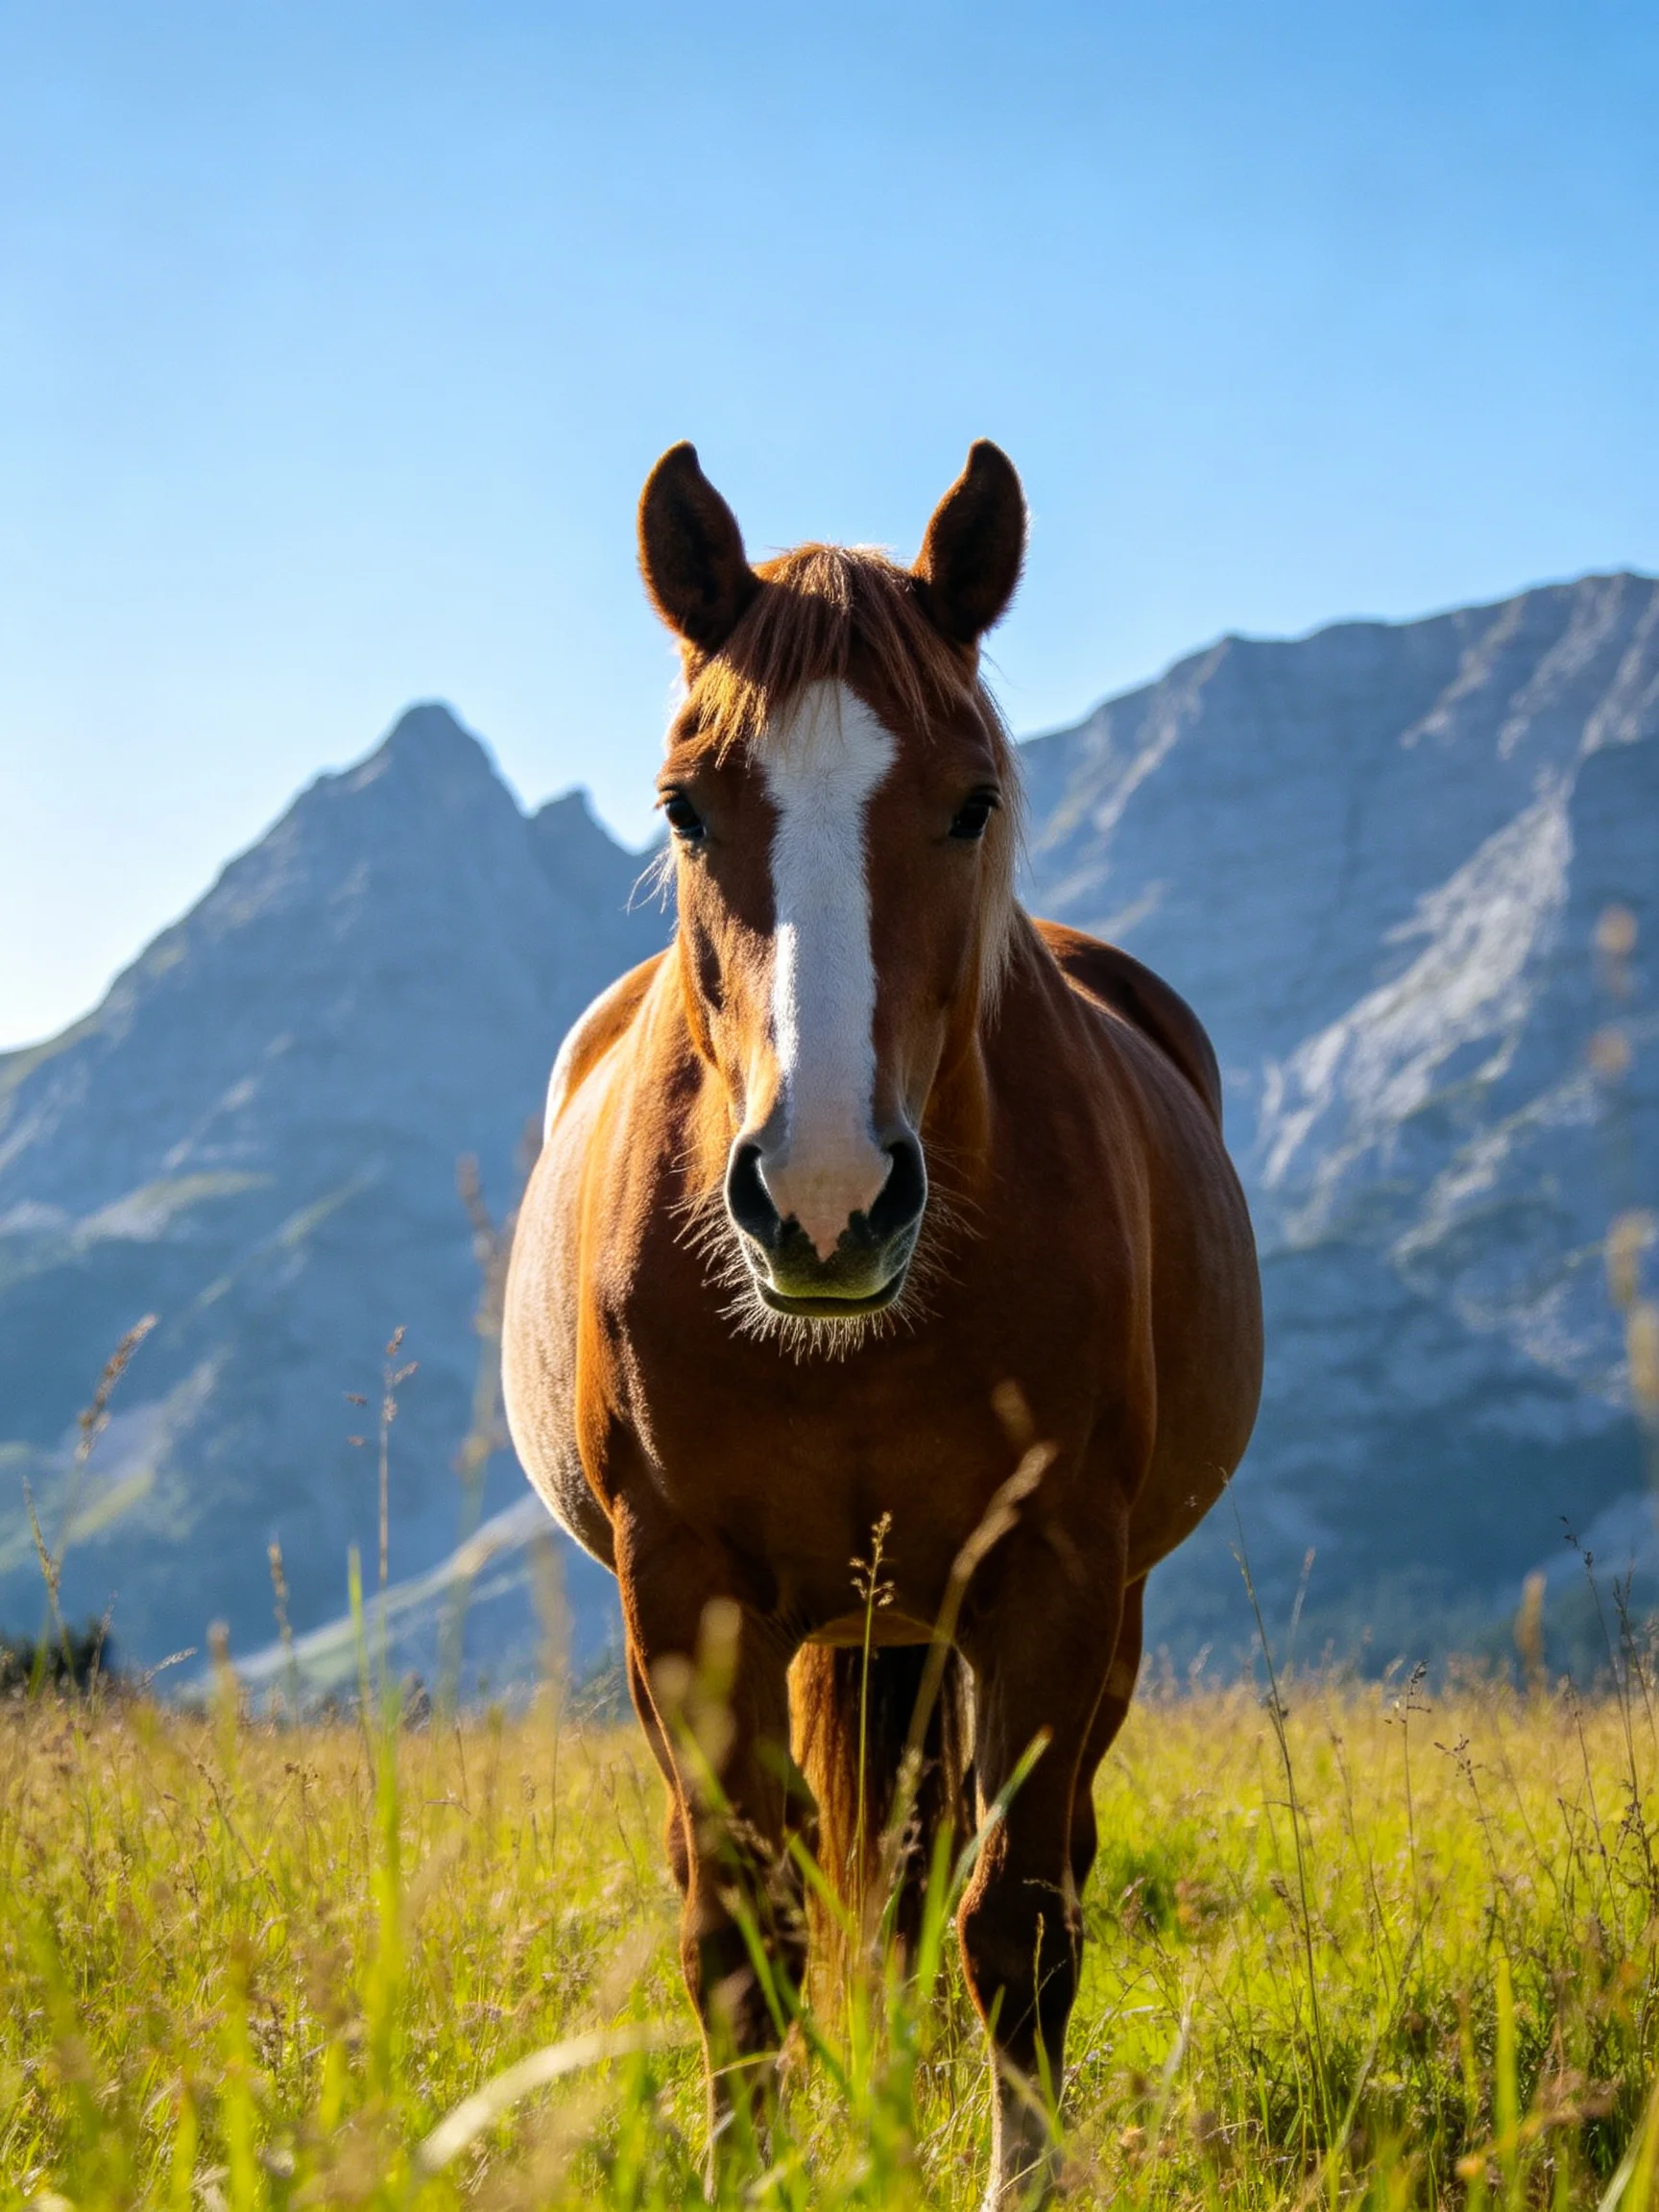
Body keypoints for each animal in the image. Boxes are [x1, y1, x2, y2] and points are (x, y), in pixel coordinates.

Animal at [502, 439, 1262, 2205]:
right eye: (685, 806)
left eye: (971, 800)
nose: (827, 1194)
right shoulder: (686, 1596)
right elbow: (741, 1933)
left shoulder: (1049, 1580)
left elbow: (1016, 1924)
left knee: (966, 1879)